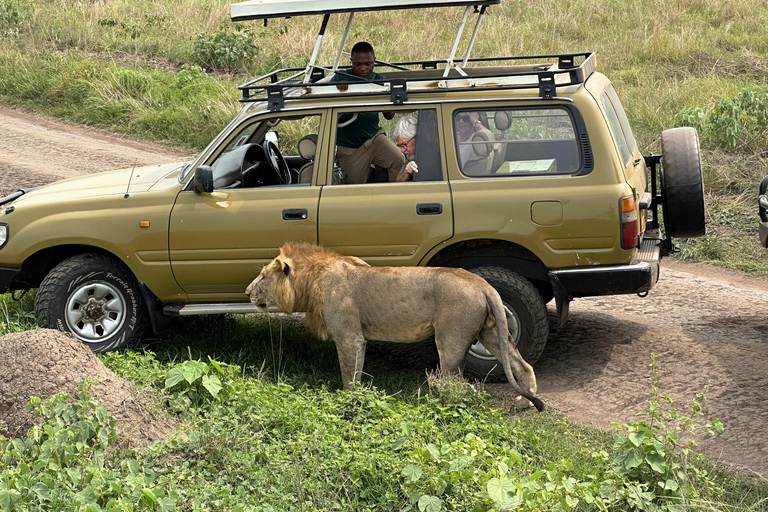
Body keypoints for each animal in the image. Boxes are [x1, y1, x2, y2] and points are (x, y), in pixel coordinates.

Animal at [243, 242, 544, 410]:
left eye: (262, 276)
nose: (246, 292)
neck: (312, 281)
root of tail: (483, 284)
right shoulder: (356, 338)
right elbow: (356, 374)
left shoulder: (349, 337)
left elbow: (349, 376)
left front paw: (349, 403)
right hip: (491, 332)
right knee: (521, 366)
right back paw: (525, 402)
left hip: (451, 338)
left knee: (455, 384)